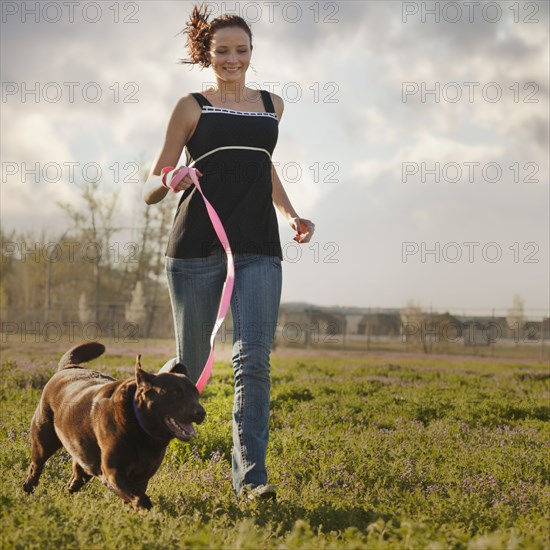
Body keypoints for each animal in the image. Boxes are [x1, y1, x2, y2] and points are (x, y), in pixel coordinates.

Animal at [22, 344, 206, 512]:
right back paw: (28, 491)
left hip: (85, 460)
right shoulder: (113, 473)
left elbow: (136, 496)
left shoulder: (142, 477)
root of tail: (68, 368)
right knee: (35, 468)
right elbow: (140, 498)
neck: (141, 428)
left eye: (196, 394)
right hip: (43, 442)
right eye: (176, 392)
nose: (201, 413)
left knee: (72, 482)